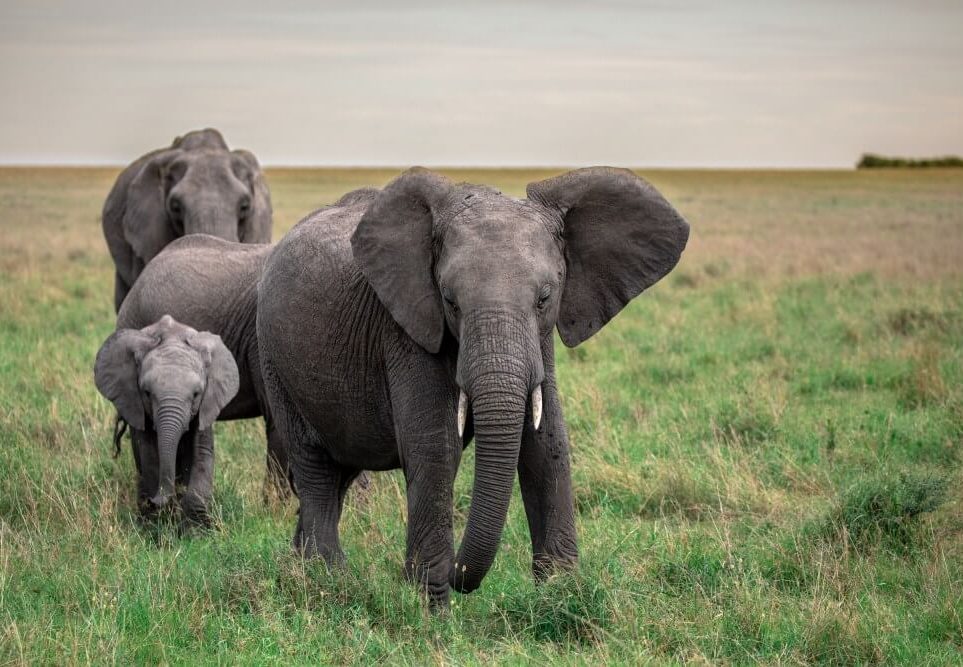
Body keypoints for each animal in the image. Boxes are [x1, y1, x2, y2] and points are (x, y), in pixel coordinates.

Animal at [93, 316, 240, 524]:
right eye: (147, 393)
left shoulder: (207, 404)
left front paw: (197, 529)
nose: (155, 500)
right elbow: (149, 453)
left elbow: (202, 451)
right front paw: (156, 522)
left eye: (196, 394)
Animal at [260, 168, 688, 612]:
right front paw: (431, 611)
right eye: (450, 301)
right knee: (317, 471)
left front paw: (562, 596)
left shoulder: (540, 341)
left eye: (545, 298)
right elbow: (437, 448)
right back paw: (326, 580)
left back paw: (301, 568)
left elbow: (546, 443)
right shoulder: (405, 329)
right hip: (275, 362)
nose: (460, 576)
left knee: (340, 473)